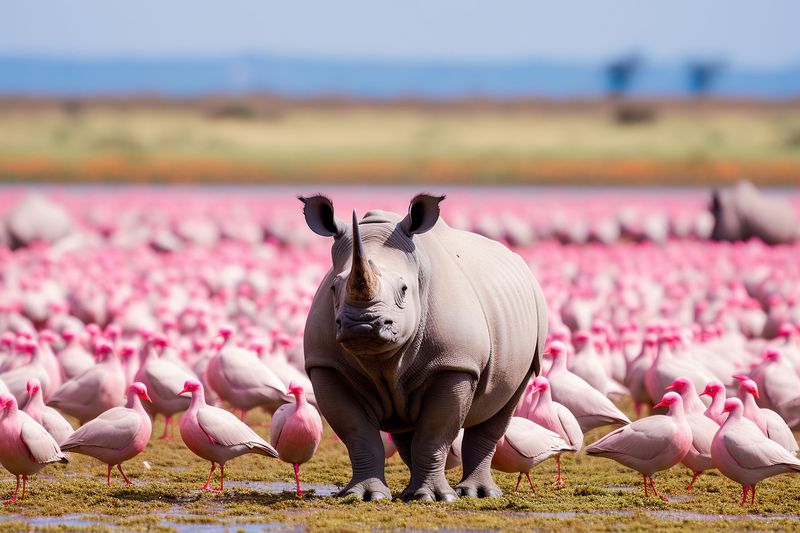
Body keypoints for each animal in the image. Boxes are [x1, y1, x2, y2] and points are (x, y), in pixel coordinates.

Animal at [299, 194, 547, 501]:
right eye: (334, 288)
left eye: (404, 290)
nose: (362, 325)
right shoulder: (326, 365)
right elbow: (357, 433)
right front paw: (363, 496)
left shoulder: (454, 363)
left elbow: (434, 433)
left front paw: (435, 498)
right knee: (406, 426)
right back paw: (410, 493)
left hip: (533, 327)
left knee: (503, 407)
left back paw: (477, 494)